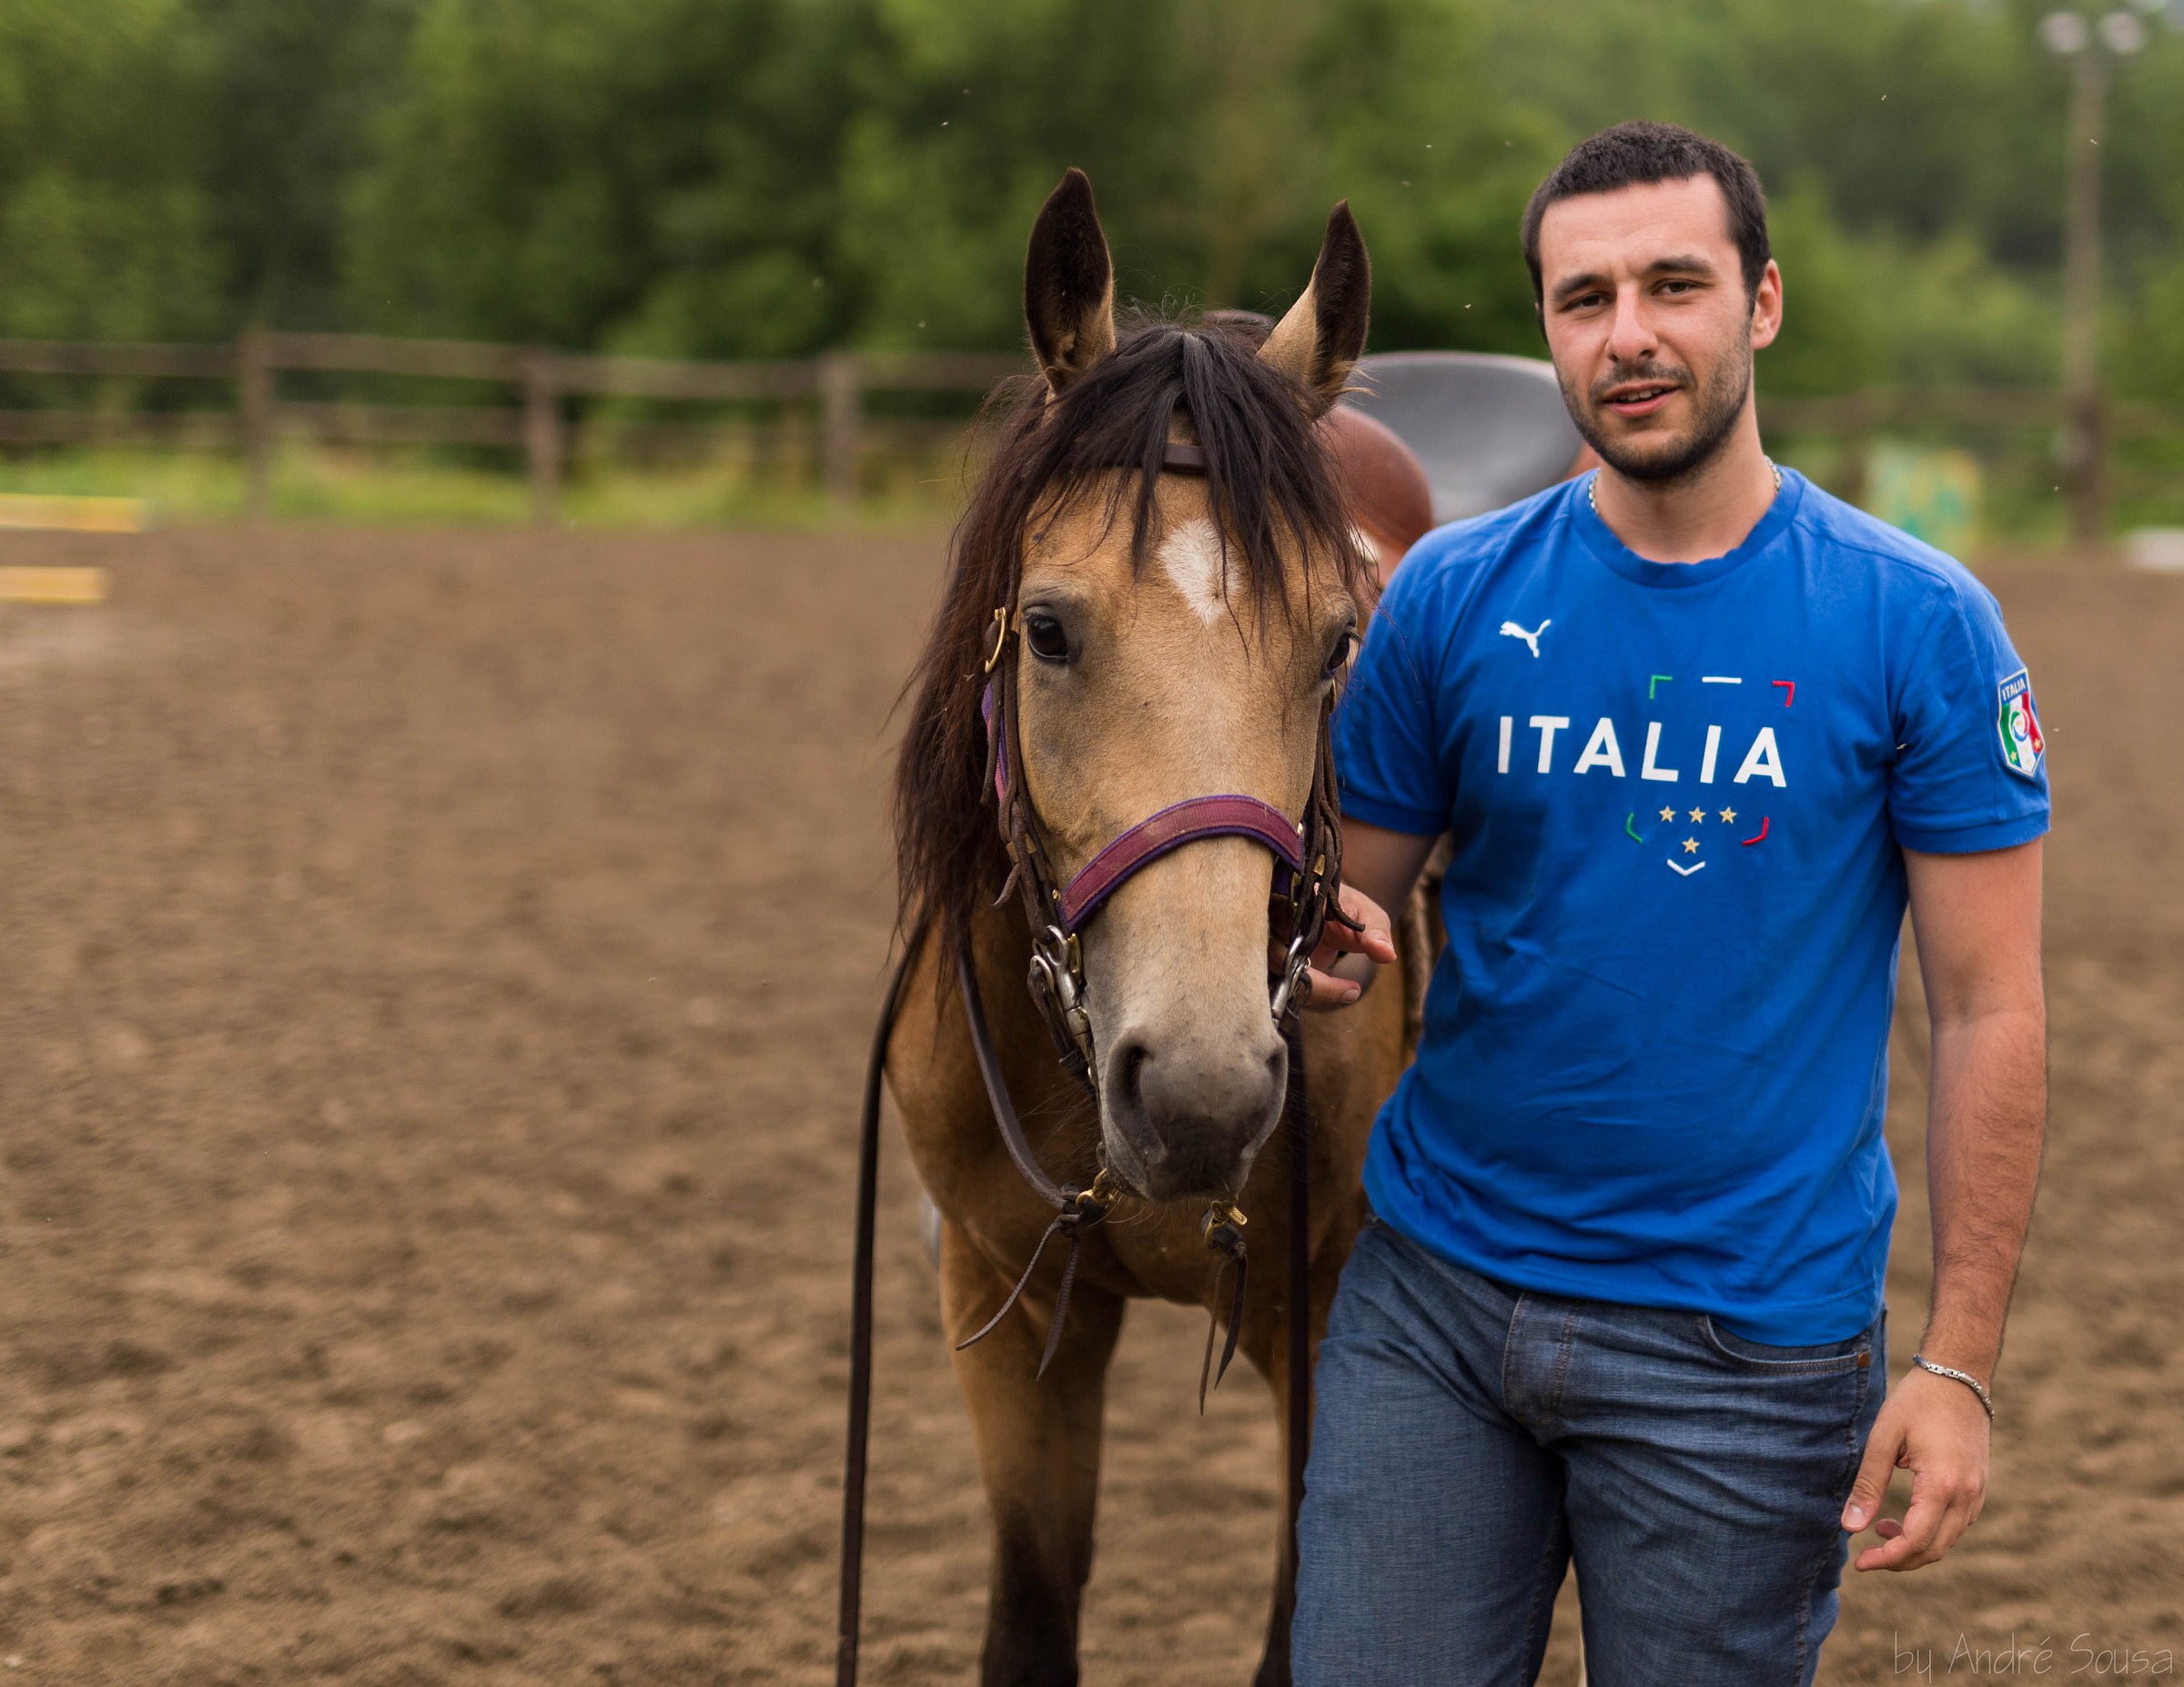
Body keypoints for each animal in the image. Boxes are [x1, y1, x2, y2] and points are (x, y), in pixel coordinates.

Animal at [880, 169, 1421, 1687]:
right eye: (1049, 630)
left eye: (1337, 642)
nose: (1200, 1087)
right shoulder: (1012, 1315)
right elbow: (1029, 1623)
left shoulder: (1330, 1328)